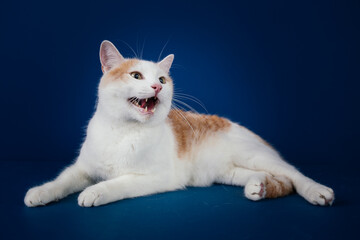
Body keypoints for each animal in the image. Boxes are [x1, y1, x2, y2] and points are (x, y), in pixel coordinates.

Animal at [24, 40, 334, 207]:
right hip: (228, 172)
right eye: (136, 75)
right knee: (267, 177)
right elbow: (62, 180)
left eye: (162, 79)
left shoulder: (157, 177)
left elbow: (118, 183)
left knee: (293, 175)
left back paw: (317, 191)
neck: (122, 131)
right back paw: (258, 187)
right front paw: (40, 192)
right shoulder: (84, 168)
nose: (157, 87)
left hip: (255, 155)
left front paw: (94, 192)